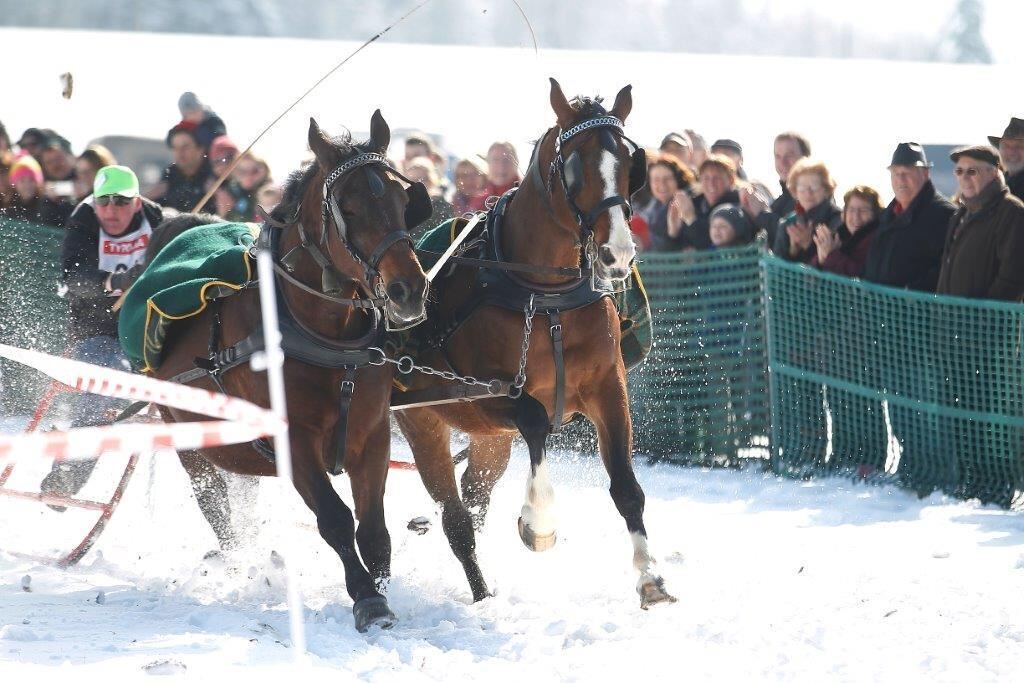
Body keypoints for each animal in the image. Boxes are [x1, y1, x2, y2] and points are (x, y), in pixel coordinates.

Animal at [150, 114, 428, 634]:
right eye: (350, 209)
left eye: (404, 202)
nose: (409, 290)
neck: (326, 339)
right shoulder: (293, 439)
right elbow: (336, 519)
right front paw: (367, 598)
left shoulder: (372, 433)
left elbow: (374, 529)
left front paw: (384, 592)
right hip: (190, 442)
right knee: (216, 510)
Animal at [395, 80, 675, 610]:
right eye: (576, 164)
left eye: (631, 164)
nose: (618, 254)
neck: (545, 298)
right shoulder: (484, 394)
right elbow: (535, 421)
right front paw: (538, 523)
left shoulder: (608, 388)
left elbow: (626, 487)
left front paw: (650, 575)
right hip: (425, 420)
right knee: (456, 517)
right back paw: (480, 591)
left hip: (489, 440)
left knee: (474, 498)